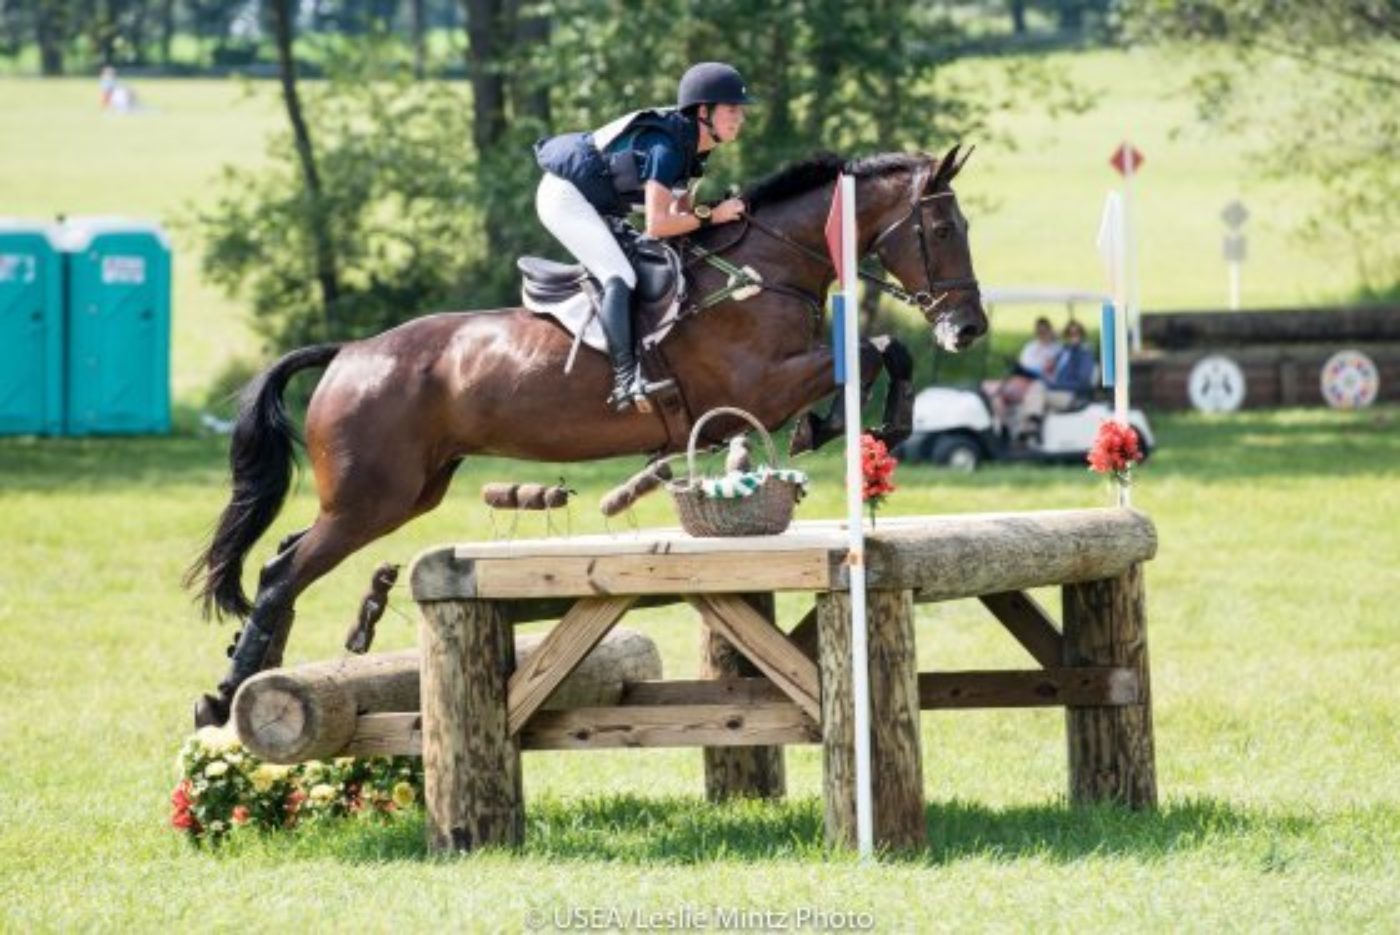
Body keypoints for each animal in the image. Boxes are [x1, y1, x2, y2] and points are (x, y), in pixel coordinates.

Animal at [191, 142, 991, 727]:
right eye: (942, 230)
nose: (970, 328)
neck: (762, 267)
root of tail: (349, 353)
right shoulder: (757, 388)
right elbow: (872, 350)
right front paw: (836, 425)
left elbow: (882, 352)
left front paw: (863, 423)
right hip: (371, 499)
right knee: (281, 572)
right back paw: (224, 696)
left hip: (404, 493)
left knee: (286, 556)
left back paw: (252, 673)